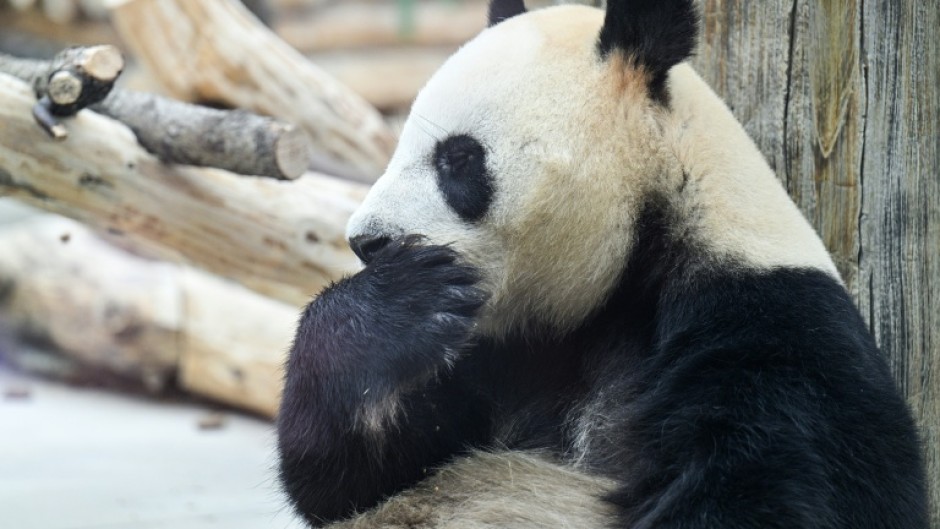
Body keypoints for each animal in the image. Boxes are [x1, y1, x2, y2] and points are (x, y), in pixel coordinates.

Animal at [277, 1, 929, 527]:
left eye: (458, 158)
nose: (369, 243)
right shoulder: (498, 347)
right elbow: (352, 480)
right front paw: (396, 305)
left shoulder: (774, 337)